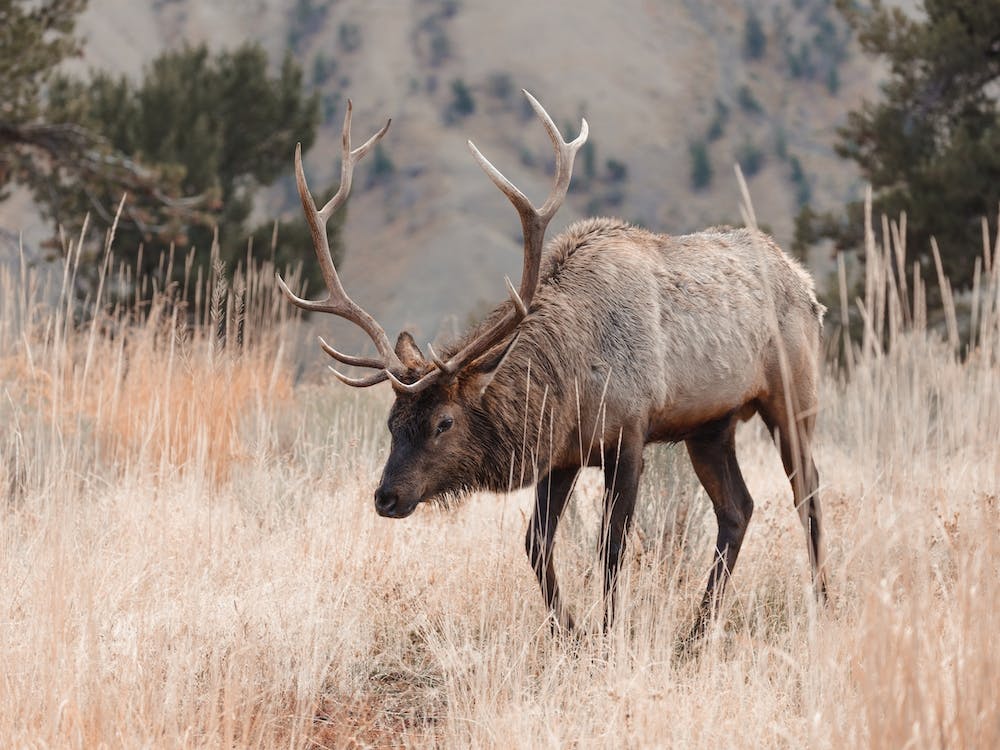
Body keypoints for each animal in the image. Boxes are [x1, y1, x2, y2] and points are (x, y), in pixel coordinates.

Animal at [278, 94, 828, 637]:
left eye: (443, 422)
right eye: (392, 423)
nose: (386, 497)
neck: (572, 378)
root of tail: (806, 285)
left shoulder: (630, 435)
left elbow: (611, 546)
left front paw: (607, 634)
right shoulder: (562, 453)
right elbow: (536, 544)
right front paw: (570, 633)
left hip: (792, 396)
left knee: (807, 489)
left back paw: (822, 602)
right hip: (710, 426)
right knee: (738, 508)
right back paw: (694, 631)